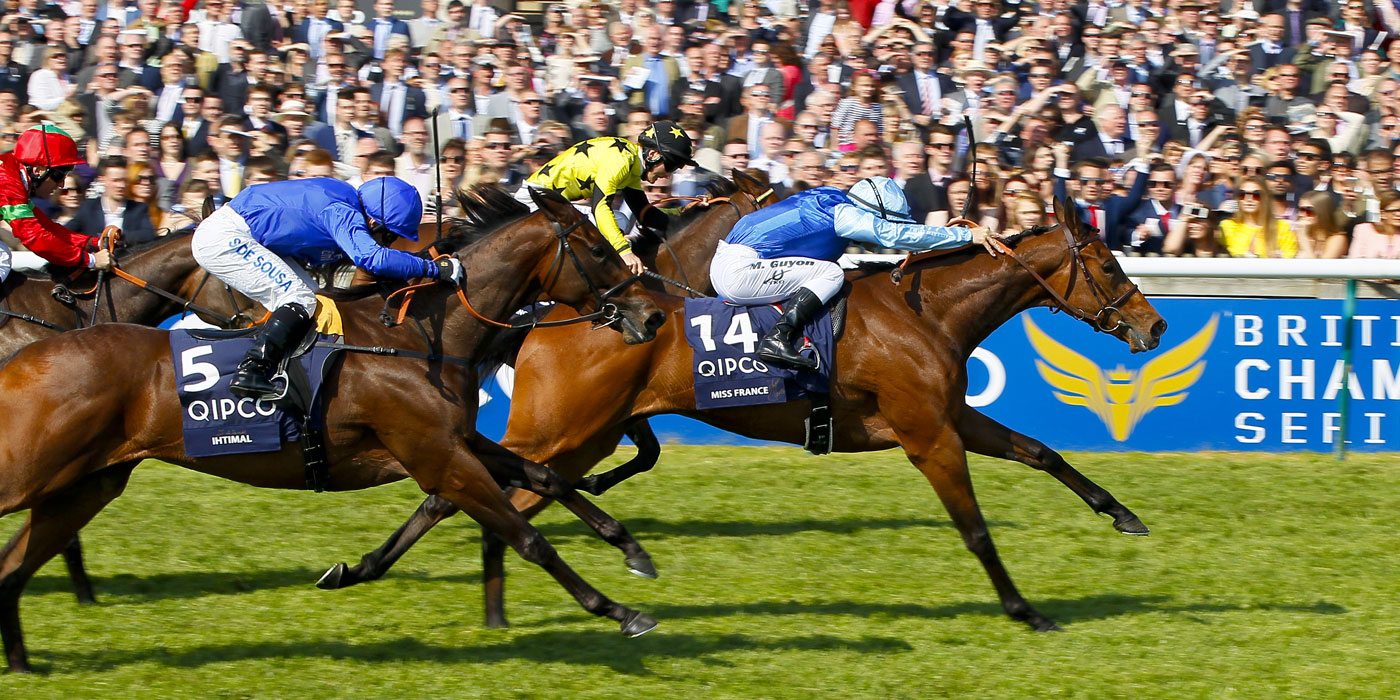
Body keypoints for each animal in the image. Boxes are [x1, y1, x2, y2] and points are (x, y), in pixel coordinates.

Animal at [0, 186, 663, 672]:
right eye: (598, 250)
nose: (653, 314)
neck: (419, 336)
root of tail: (28, 357)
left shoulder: (456, 442)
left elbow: (548, 477)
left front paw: (632, 550)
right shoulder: (439, 456)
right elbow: (530, 537)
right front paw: (620, 611)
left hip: (86, 484)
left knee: (11, 570)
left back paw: (25, 663)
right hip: (35, 474)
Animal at [322, 194, 1164, 632]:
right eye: (1108, 263)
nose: (1153, 327)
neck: (926, 311)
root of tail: (551, 314)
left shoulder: (951, 416)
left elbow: (1042, 452)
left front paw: (1125, 516)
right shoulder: (927, 434)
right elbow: (976, 529)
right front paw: (1026, 610)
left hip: (584, 435)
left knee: (492, 496)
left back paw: (481, 598)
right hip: (561, 427)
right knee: (464, 491)